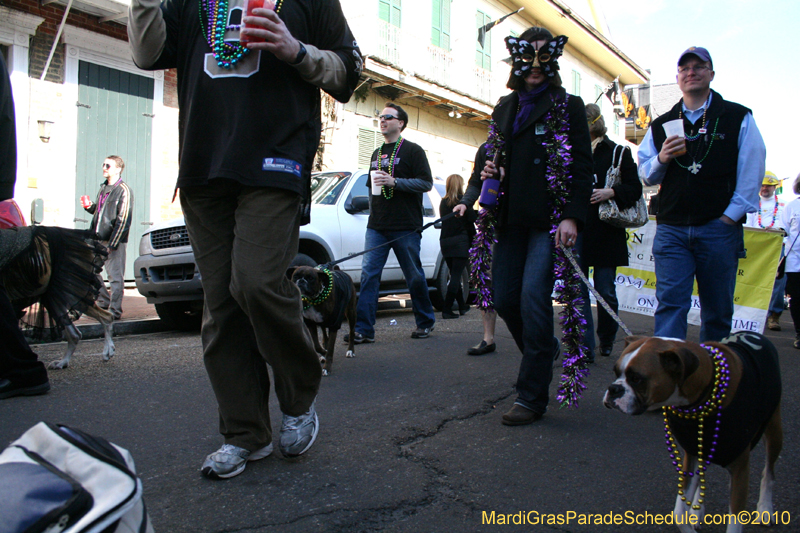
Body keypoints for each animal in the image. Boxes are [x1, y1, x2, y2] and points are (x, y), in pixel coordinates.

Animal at [604, 330, 780, 528]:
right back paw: (697, 509)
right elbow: (679, 513)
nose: (613, 388)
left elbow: (735, 520)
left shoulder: (740, 470)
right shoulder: (692, 455)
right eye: (615, 372)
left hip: (774, 431)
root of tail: (751, 333)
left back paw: (765, 509)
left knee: (769, 472)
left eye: (636, 379)